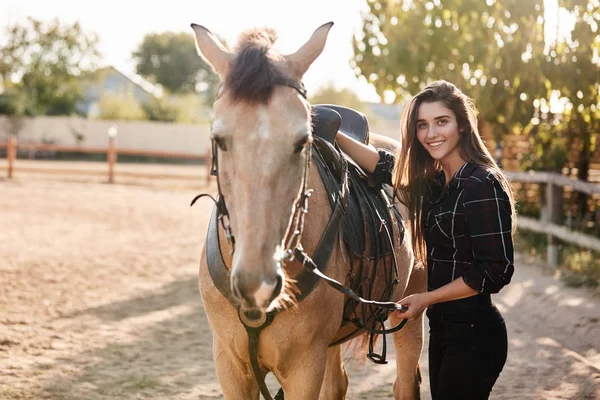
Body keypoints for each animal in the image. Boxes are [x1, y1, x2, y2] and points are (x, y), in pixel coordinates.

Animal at [192, 21, 426, 400]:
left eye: (302, 141)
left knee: (405, 381)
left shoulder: (305, 367)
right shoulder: (229, 366)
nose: (257, 283)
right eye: (219, 139)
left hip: (409, 312)